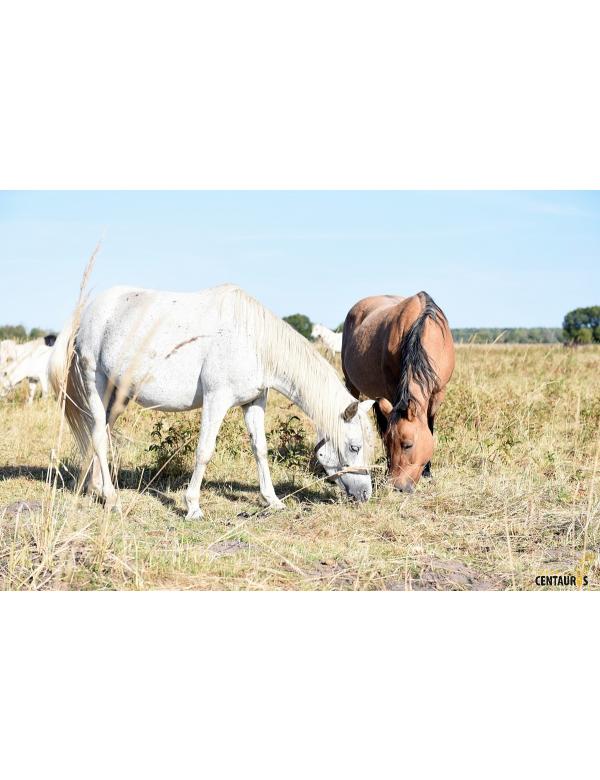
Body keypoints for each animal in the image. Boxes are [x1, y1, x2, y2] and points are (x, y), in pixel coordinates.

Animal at [50, 284, 376, 516]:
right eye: (354, 447)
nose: (365, 494)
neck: (253, 339)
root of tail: (88, 312)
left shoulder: (254, 402)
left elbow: (260, 449)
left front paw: (272, 500)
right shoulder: (216, 399)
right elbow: (204, 451)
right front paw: (192, 506)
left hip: (118, 394)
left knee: (100, 433)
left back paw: (95, 488)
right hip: (96, 381)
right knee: (97, 434)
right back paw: (112, 498)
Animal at [342, 292, 454, 494]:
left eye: (407, 445)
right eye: (388, 443)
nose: (397, 487)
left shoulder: (438, 394)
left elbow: (429, 426)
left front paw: (427, 472)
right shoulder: (392, 390)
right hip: (352, 384)